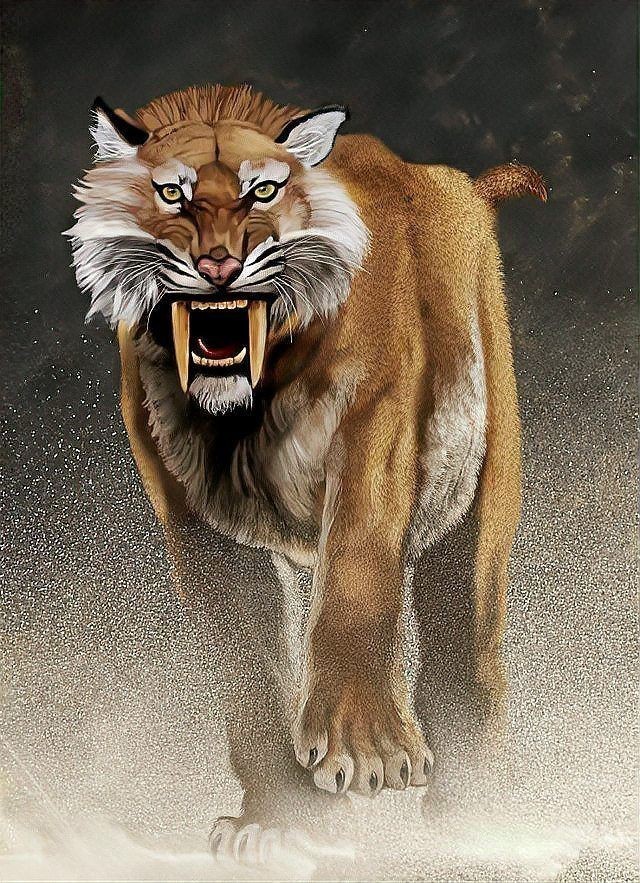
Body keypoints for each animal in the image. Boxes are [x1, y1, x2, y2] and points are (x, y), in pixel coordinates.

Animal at [66, 83, 545, 822]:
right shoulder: (189, 510)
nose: (218, 266)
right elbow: (243, 658)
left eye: (261, 191)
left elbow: (355, 576)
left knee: (470, 662)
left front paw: (369, 749)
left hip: (480, 514)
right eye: (171, 195)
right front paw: (278, 816)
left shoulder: (374, 421)